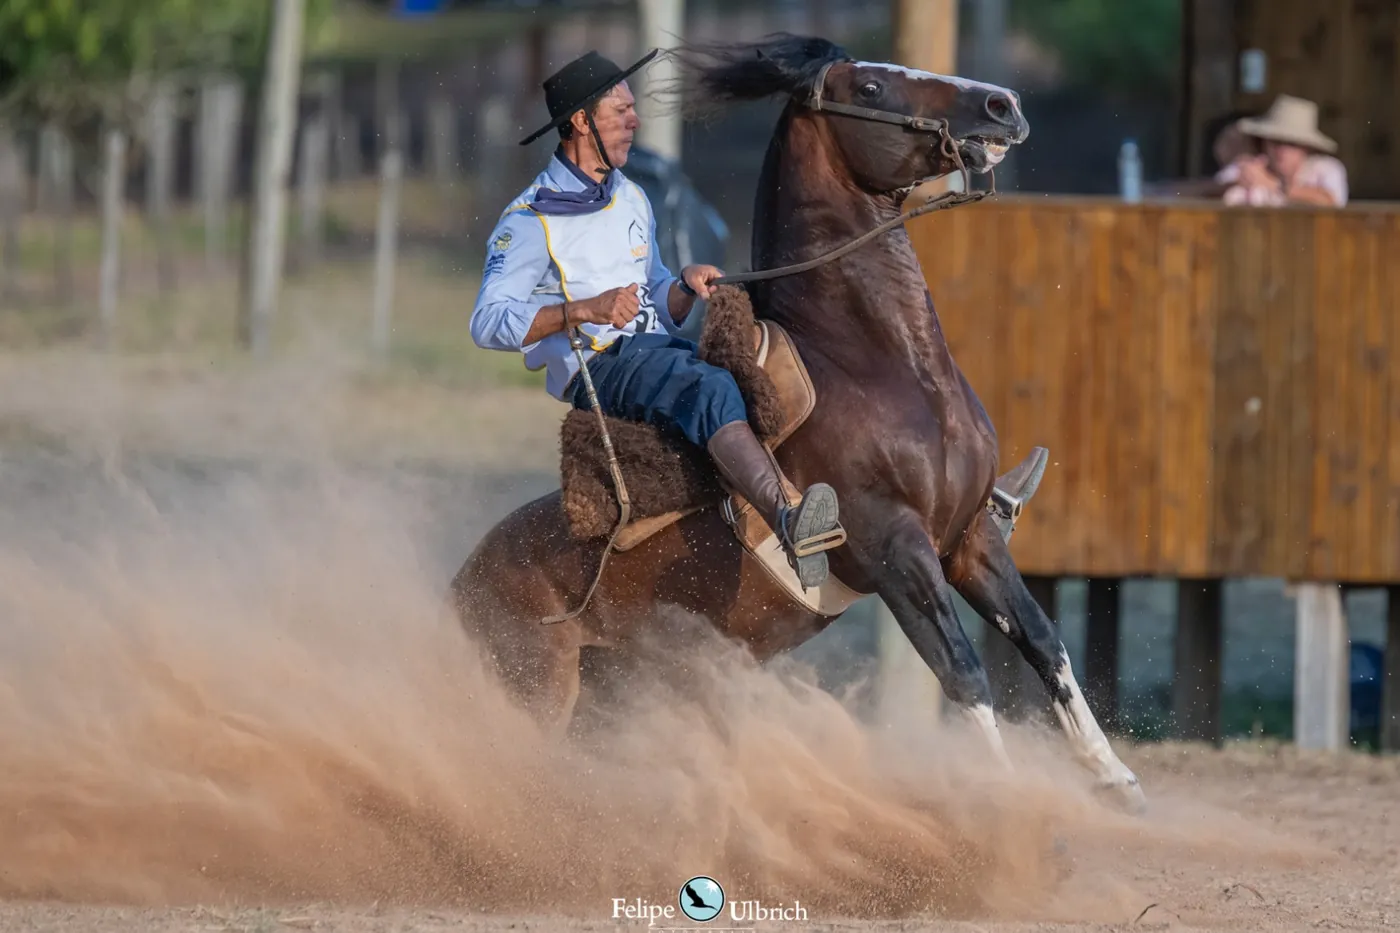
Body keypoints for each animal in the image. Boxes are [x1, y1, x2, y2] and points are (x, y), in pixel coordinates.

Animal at [450, 34, 1146, 813]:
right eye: (870, 86)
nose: (1003, 105)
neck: (881, 363)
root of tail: (459, 586)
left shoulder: (970, 535)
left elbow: (1042, 638)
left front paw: (1112, 775)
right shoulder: (894, 547)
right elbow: (962, 668)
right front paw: (1008, 797)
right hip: (539, 694)